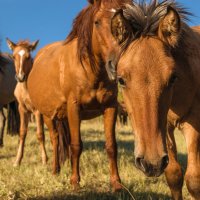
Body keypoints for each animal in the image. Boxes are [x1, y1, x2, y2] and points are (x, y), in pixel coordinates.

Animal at [6, 38, 47, 166]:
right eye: (14, 56)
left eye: (28, 57)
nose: (20, 77)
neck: (26, 89)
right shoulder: (22, 110)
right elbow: (22, 133)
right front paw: (17, 161)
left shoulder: (37, 111)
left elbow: (40, 134)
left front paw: (45, 160)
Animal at [27, 0, 131, 191]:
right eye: (97, 22)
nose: (116, 64)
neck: (90, 70)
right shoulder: (74, 107)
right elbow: (76, 145)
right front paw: (75, 182)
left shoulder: (110, 106)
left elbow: (111, 146)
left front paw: (116, 183)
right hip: (47, 116)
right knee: (55, 140)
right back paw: (55, 170)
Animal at [115, 0, 200, 199]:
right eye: (121, 80)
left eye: (173, 77)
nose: (151, 164)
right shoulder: (165, 127)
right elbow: (174, 175)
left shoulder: (193, 122)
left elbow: (193, 180)